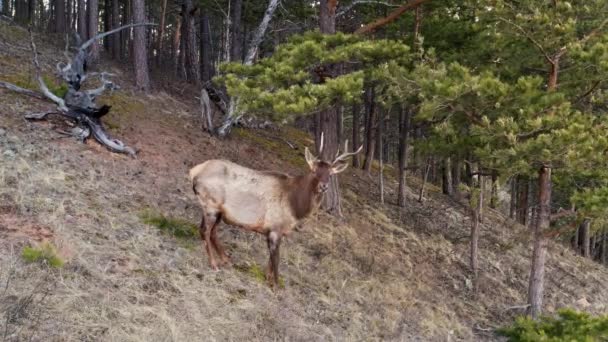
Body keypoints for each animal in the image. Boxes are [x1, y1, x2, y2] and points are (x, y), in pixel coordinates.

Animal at [190, 135, 360, 288]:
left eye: (330, 174)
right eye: (314, 171)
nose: (323, 186)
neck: (295, 207)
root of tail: (194, 171)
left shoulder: (273, 231)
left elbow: (270, 260)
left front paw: (267, 278)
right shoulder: (275, 228)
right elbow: (276, 259)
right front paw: (276, 287)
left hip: (218, 211)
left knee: (211, 232)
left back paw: (226, 260)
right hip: (211, 205)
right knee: (205, 231)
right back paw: (214, 264)